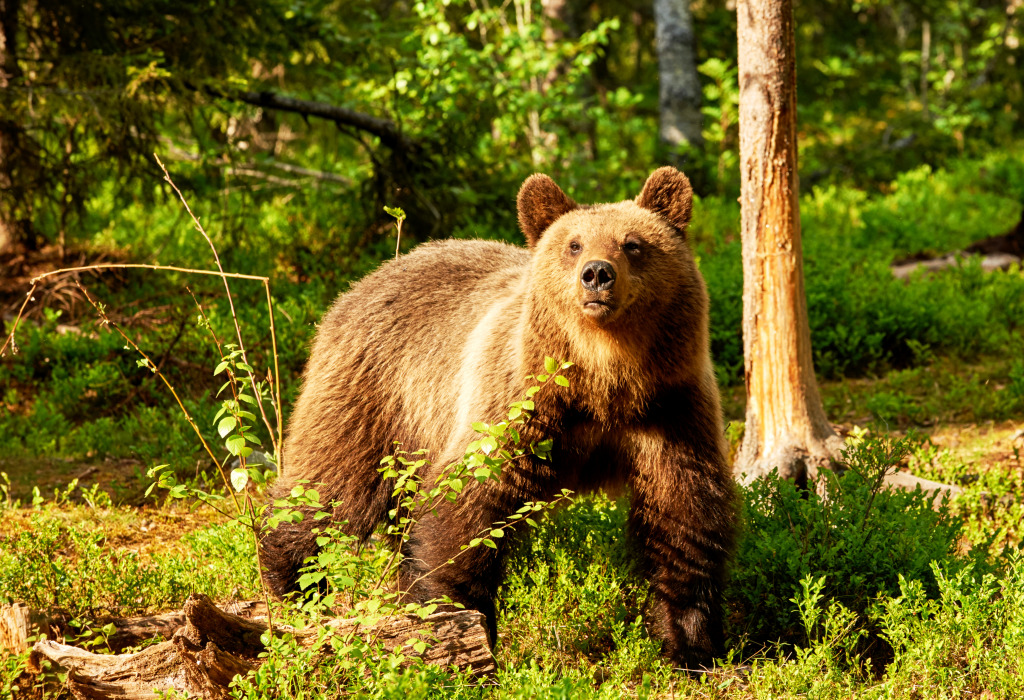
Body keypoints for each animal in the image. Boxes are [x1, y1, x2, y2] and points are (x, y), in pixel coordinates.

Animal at [260, 166, 733, 671]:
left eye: (632, 243)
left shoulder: (670, 411)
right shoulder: (517, 407)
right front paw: (458, 630)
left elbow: (683, 520)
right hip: (375, 396)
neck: (605, 381)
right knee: (329, 485)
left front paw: (690, 644)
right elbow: (466, 511)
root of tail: (363, 281)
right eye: (574, 244)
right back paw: (292, 581)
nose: (596, 274)